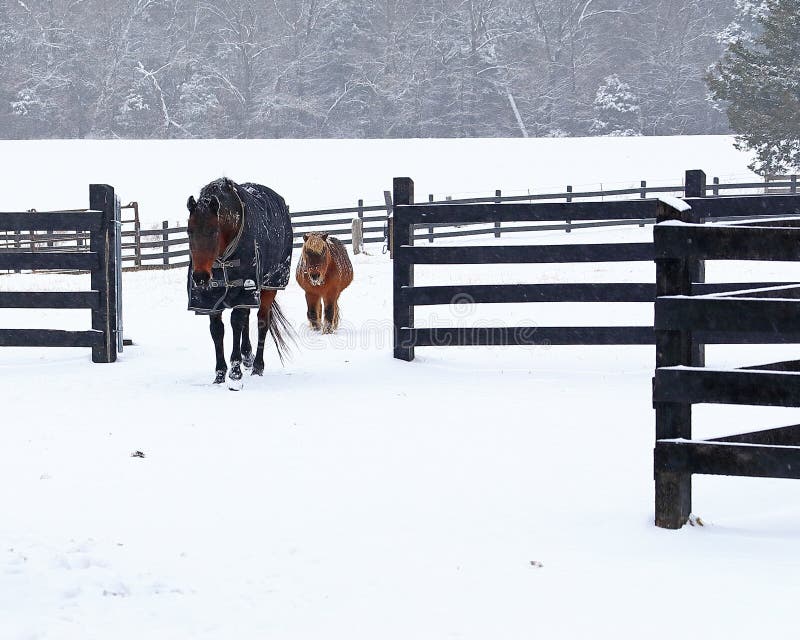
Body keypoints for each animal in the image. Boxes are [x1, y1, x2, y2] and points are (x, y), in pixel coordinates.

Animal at [188, 176, 294, 384]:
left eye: (213, 231)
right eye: (189, 231)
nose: (200, 277)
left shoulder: (245, 289)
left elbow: (236, 323)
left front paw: (235, 370)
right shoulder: (212, 298)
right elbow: (217, 330)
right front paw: (220, 373)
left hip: (269, 287)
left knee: (262, 322)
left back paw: (257, 366)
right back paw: (247, 356)